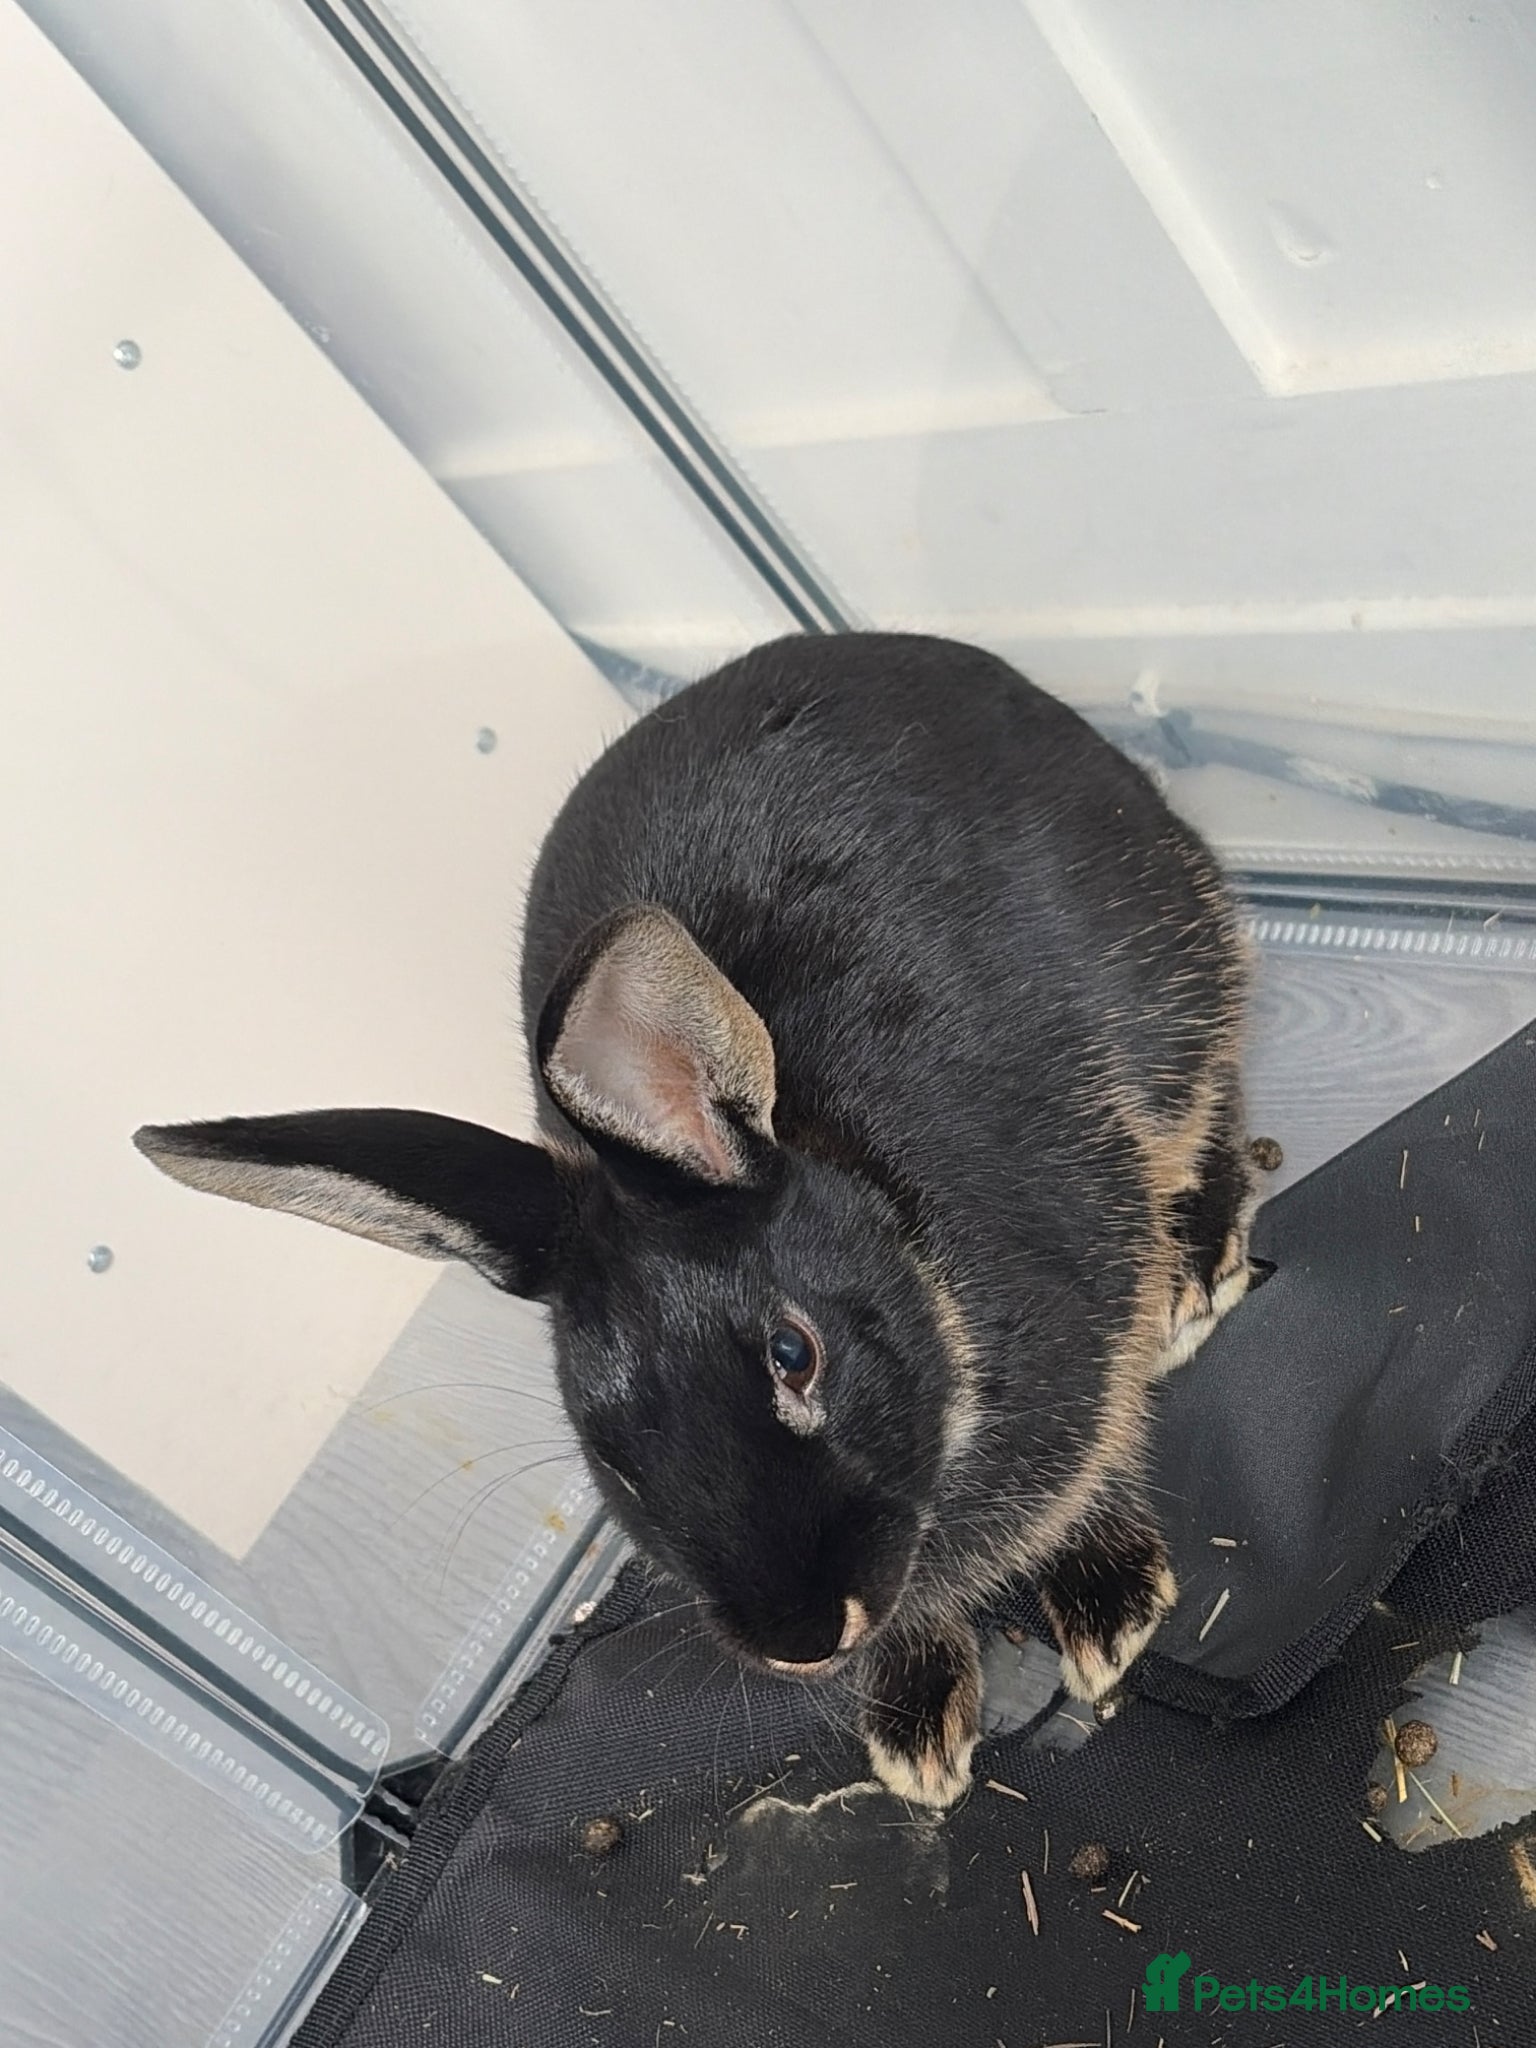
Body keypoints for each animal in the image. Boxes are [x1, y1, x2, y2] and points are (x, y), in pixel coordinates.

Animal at [135, 632, 1256, 1808]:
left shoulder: (1088, 1316)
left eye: (793, 1353)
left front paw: (1111, 1604)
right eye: (613, 1460)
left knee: (1213, 1086)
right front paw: (913, 1732)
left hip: (1165, 979)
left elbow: (1095, 1461)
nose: (805, 1637)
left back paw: (1201, 1269)